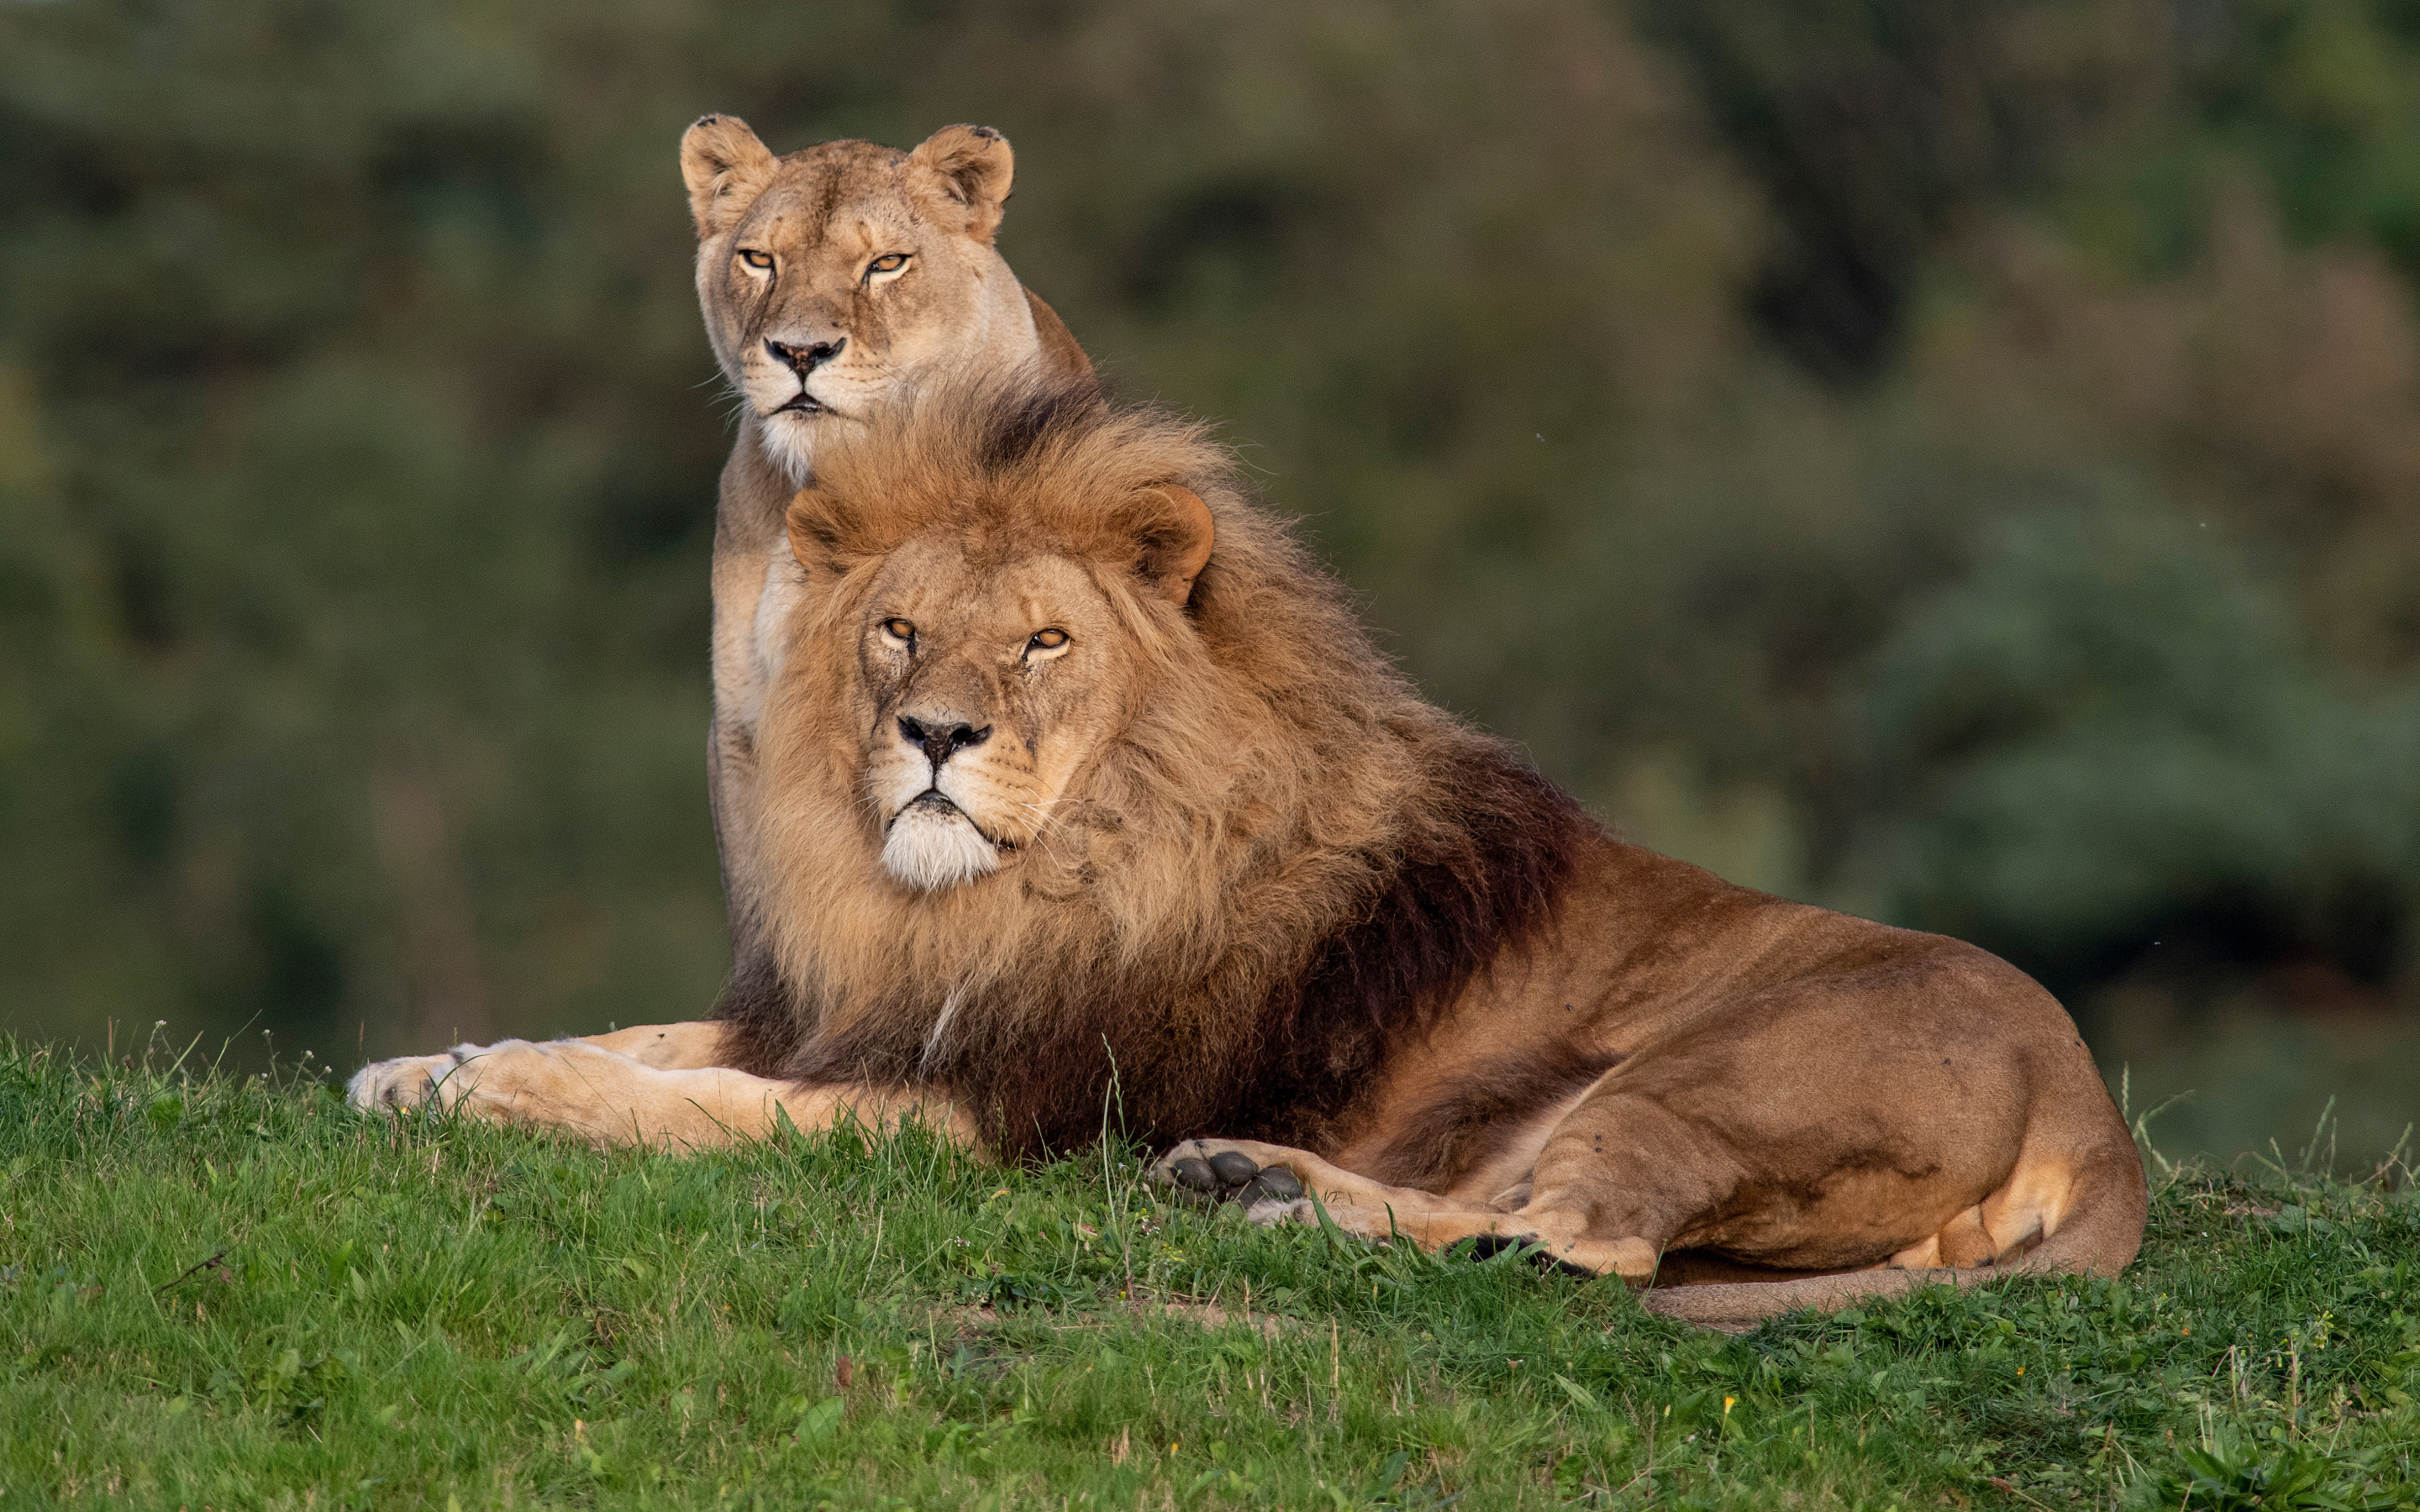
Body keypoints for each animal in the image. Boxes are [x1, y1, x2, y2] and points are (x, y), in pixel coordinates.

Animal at [350, 382, 2149, 1326]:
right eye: (900, 630)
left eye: (1046, 644)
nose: (935, 737)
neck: (1001, 897)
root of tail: (2095, 1112)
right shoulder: (865, 1011)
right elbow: (661, 1036)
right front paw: (417, 1065)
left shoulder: (994, 1113)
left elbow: (703, 1104)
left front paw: (503, 1086)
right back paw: (1251, 1185)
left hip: (1706, 1075)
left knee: (1587, 1254)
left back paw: (1276, 1210)